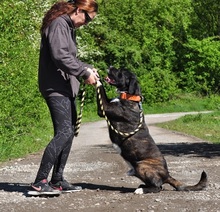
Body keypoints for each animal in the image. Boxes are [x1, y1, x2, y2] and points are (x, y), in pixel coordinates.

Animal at [95, 66, 207, 194]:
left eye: (121, 72)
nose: (110, 67)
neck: (130, 97)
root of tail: (167, 175)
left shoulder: (104, 108)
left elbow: (101, 89)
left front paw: (96, 77)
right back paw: (142, 186)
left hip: (142, 165)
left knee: (158, 187)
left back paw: (141, 190)